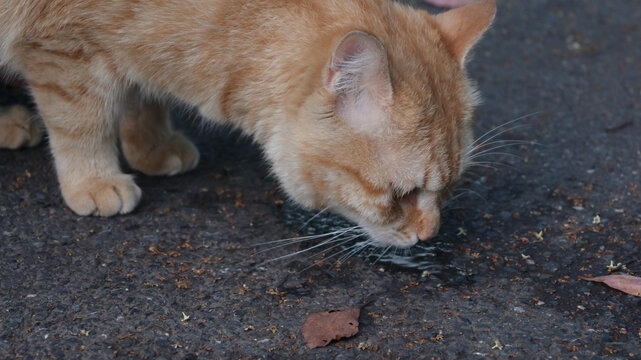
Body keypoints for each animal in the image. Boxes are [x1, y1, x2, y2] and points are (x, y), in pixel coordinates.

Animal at [0, 0, 496, 248]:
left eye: (450, 189)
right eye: (401, 195)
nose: (431, 235)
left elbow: (142, 94)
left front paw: (151, 144)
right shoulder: (59, 47)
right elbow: (80, 122)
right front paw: (93, 178)